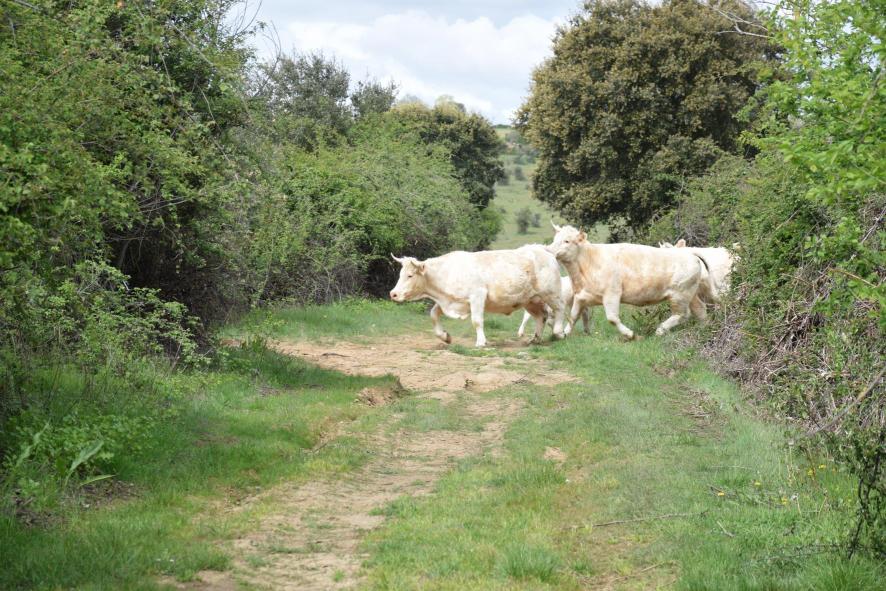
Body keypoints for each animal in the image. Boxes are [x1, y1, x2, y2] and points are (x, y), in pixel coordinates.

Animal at [389, 245, 566, 347]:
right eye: (400, 274)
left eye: (410, 275)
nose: (393, 294)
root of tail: (546, 253)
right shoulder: (450, 301)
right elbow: (433, 314)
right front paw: (445, 337)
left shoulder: (477, 296)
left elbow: (477, 321)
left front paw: (481, 342)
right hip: (530, 300)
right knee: (542, 316)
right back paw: (535, 339)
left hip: (551, 293)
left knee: (559, 309)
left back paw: (559, 332)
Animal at [547, 224, 713, 339]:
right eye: (555, 239)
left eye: (567, 241)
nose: (548, 250)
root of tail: (690, 253)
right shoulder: (581, 296)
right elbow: (573, 316)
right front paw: (564, 333)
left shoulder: (612, 294)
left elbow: (612, 318)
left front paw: (630, 334)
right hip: (691, 294)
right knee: (700, 310)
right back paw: (704, 329)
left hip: (680, 295)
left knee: (683, 314)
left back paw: (660, 330)